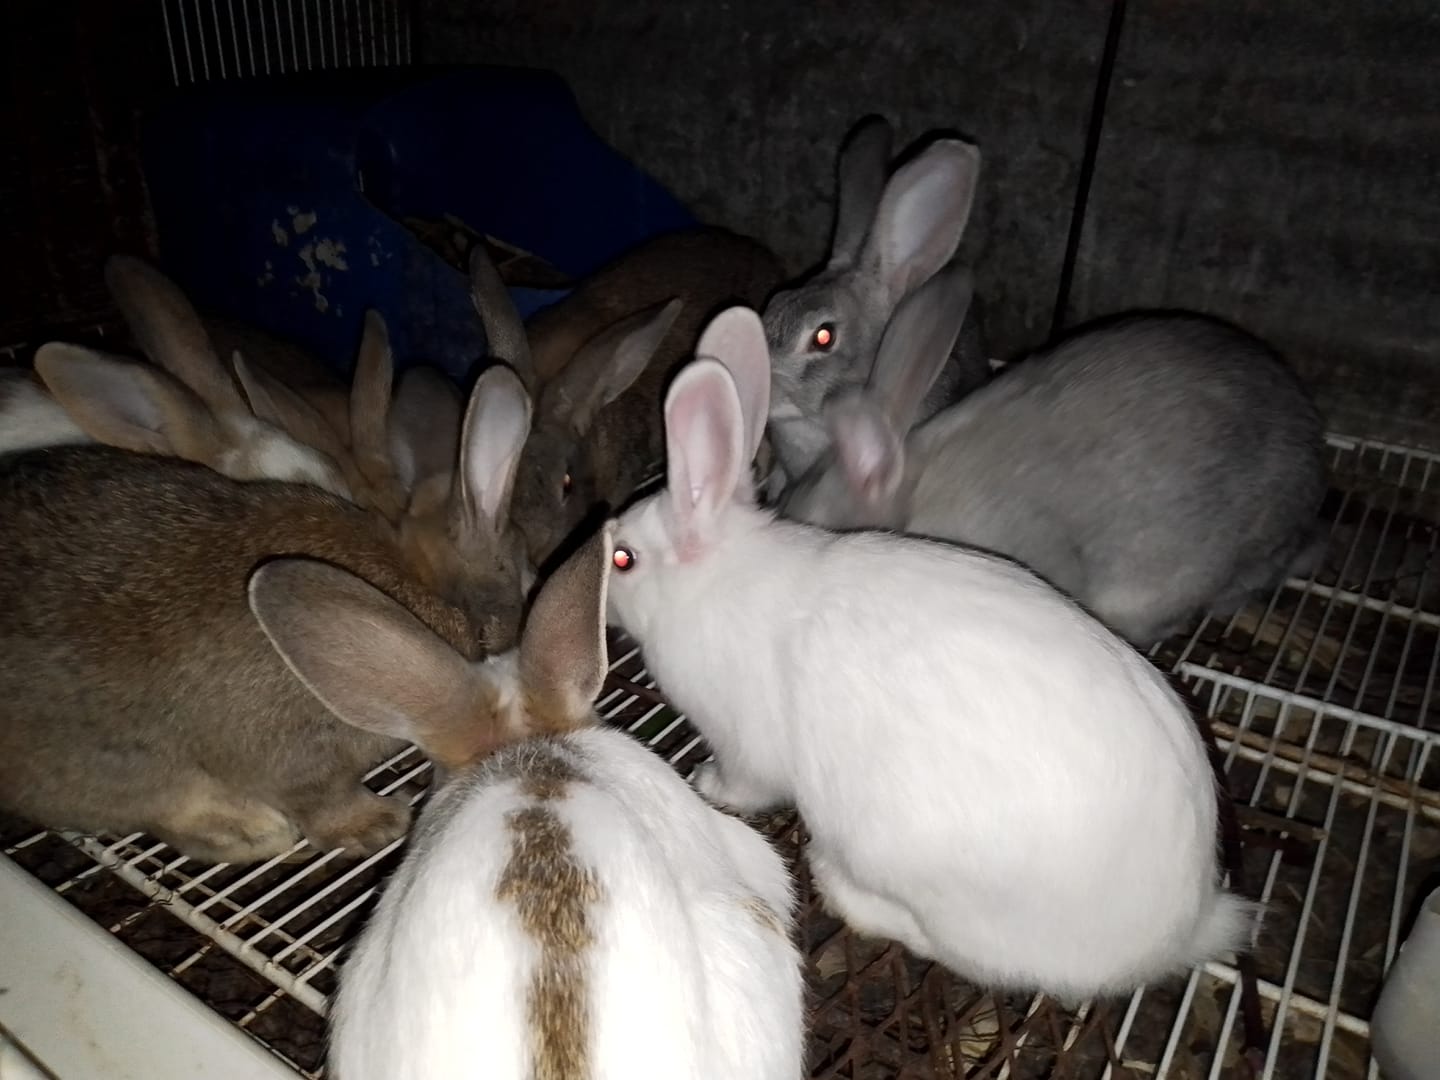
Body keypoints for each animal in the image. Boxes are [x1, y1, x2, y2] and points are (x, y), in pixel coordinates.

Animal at [604, 305, 1259, 1003]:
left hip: (936, 890)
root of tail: (1183, 929)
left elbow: (745, 782)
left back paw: (839, 886)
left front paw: (705, 783)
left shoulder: (745, 746)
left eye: (624, 559)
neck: (711, 577)